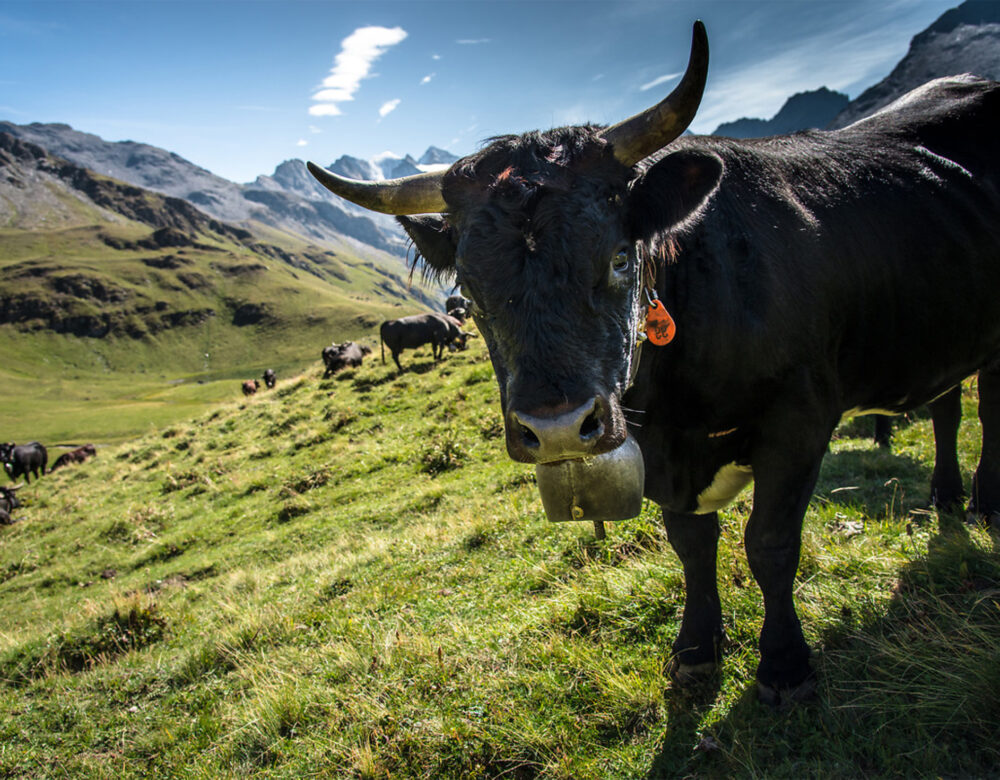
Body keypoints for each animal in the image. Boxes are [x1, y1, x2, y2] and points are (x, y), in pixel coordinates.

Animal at [304, 24, 1000, 704]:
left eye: (618, 256)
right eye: (470, 295)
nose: (557, 430)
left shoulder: (798, 419)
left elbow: (769, 545)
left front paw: (784, 666)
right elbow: (691, 546)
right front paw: (695, 652)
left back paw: (983, 504)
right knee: (947, 406)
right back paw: (946, 498)